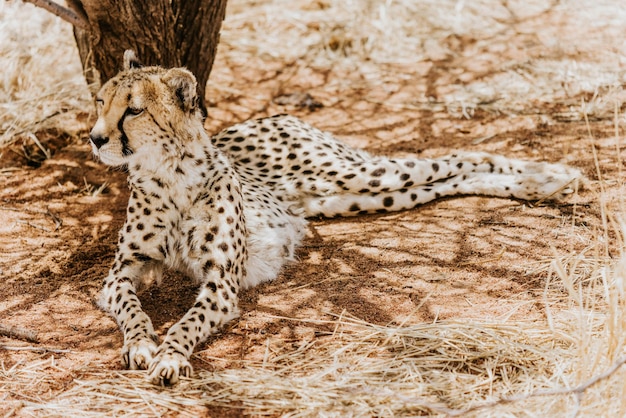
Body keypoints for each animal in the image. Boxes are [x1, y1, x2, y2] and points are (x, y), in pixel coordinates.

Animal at [88, 51, 580, 386]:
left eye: (134, 109)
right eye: (100, 102)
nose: (95, 138)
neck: (168, 173)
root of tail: (273, 116)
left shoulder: (220, 283)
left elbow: (188, 322)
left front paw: (170, 355)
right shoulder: (119, 275)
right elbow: (131, 308)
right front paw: (140, 344)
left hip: (359, 174)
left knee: (455, 158)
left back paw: (550, 175)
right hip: (355, 197)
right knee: (447, 180)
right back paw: (543, 182)